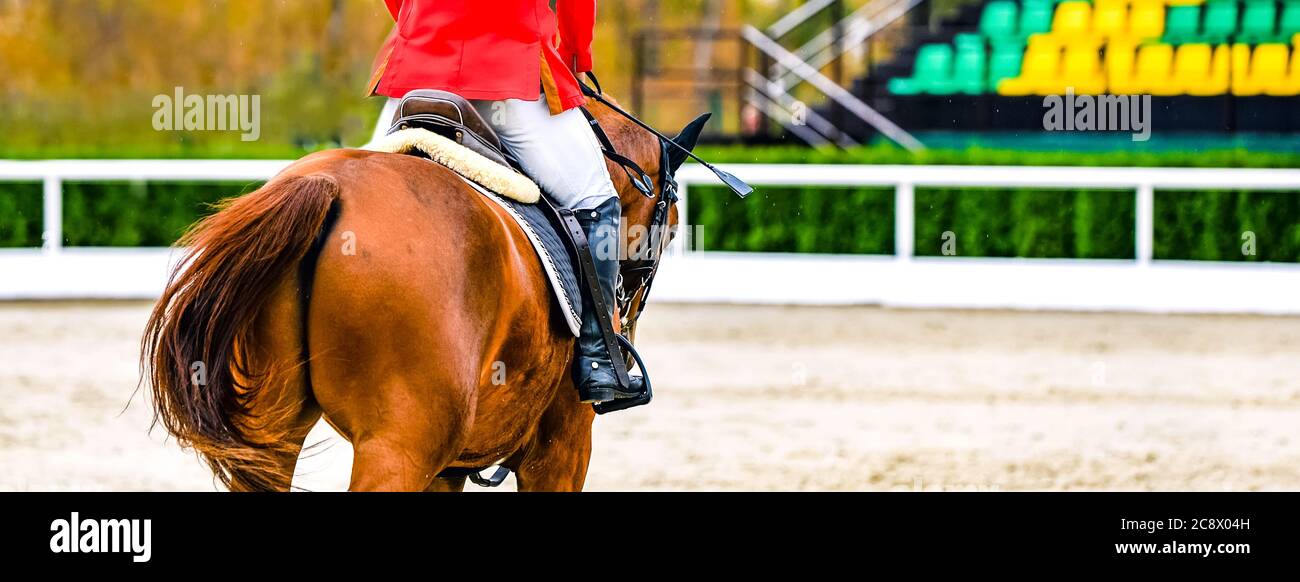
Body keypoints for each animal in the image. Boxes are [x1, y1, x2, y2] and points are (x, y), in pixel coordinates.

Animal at [141, 100, 696, 491]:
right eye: (669, 228)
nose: (624, 320)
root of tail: (330, 184)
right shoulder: (561, 451)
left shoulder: (450, 467)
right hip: (400, 447)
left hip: (272, 430)